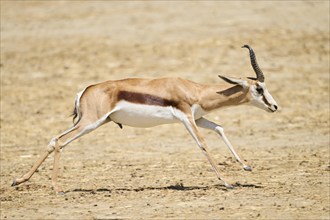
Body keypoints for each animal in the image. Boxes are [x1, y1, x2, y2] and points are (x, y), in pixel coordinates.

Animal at [11, 45, 278, 192]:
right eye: (259, 89)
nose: (274, 106)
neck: (194, 89)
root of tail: (86, 89)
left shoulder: (198, 118)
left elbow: (220, 129)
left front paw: (246, 166)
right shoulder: (186, 119)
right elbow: (202, 144)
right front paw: (228, 182)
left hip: (92, 122)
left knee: (53, 139)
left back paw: (19, 181)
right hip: (90, 123)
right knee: (60, 142)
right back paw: (57, 189)